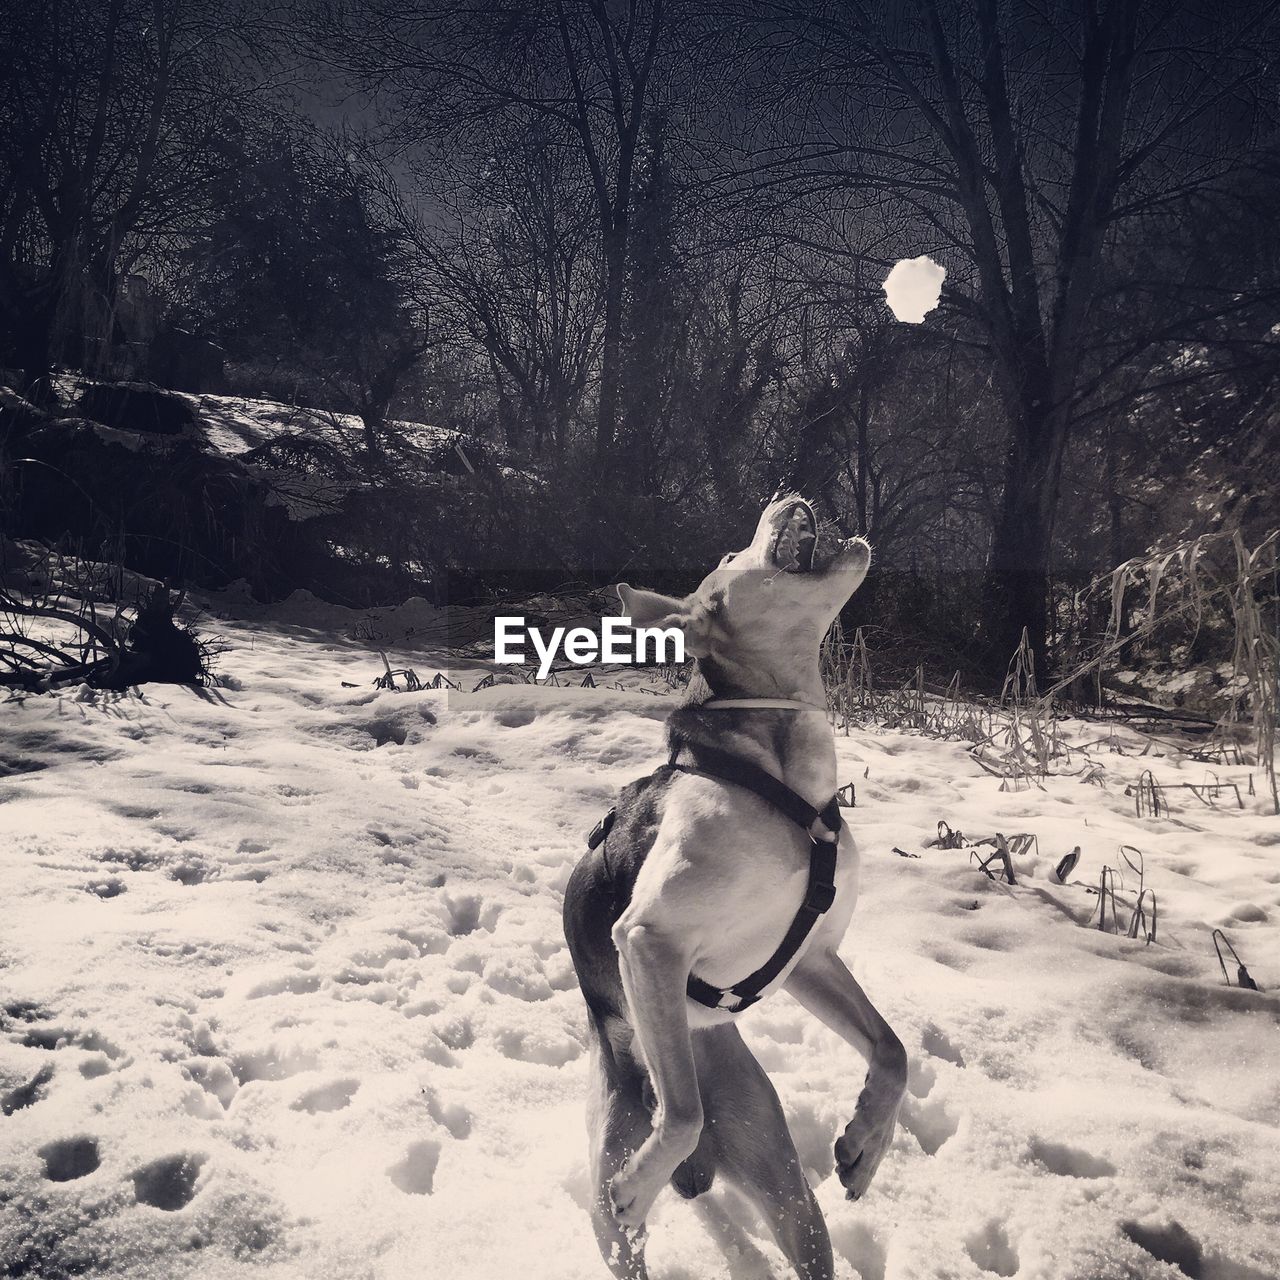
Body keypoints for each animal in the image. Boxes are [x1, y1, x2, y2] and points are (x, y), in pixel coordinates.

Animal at [563, 496, 911, 1280]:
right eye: (727, 557)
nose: (785, 496)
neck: (785, 780)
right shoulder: (649, 937)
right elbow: (683, 1111)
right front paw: (645, 1176)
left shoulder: (810, 956)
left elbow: (893, 1049)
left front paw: (866, 1144)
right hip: (608, 1216)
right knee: (665, 1142)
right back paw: (650, 1173)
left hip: (787, 1194)